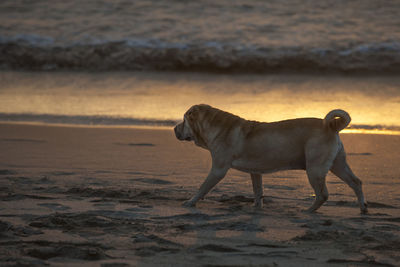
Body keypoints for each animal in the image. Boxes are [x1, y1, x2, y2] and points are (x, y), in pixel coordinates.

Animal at [173, 103, 368, 215]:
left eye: (184, 120)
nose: (174, 129)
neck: (215, 125)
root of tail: (332, 126)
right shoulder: (255, 172)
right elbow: (258, 190)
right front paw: (256, 208)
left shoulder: (218, 170)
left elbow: (203, 187)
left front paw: (190, 202)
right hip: (338, 164)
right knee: (356, 182)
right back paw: (363, 208)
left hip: (315, 169)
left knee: (323, 194)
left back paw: (308, 211)